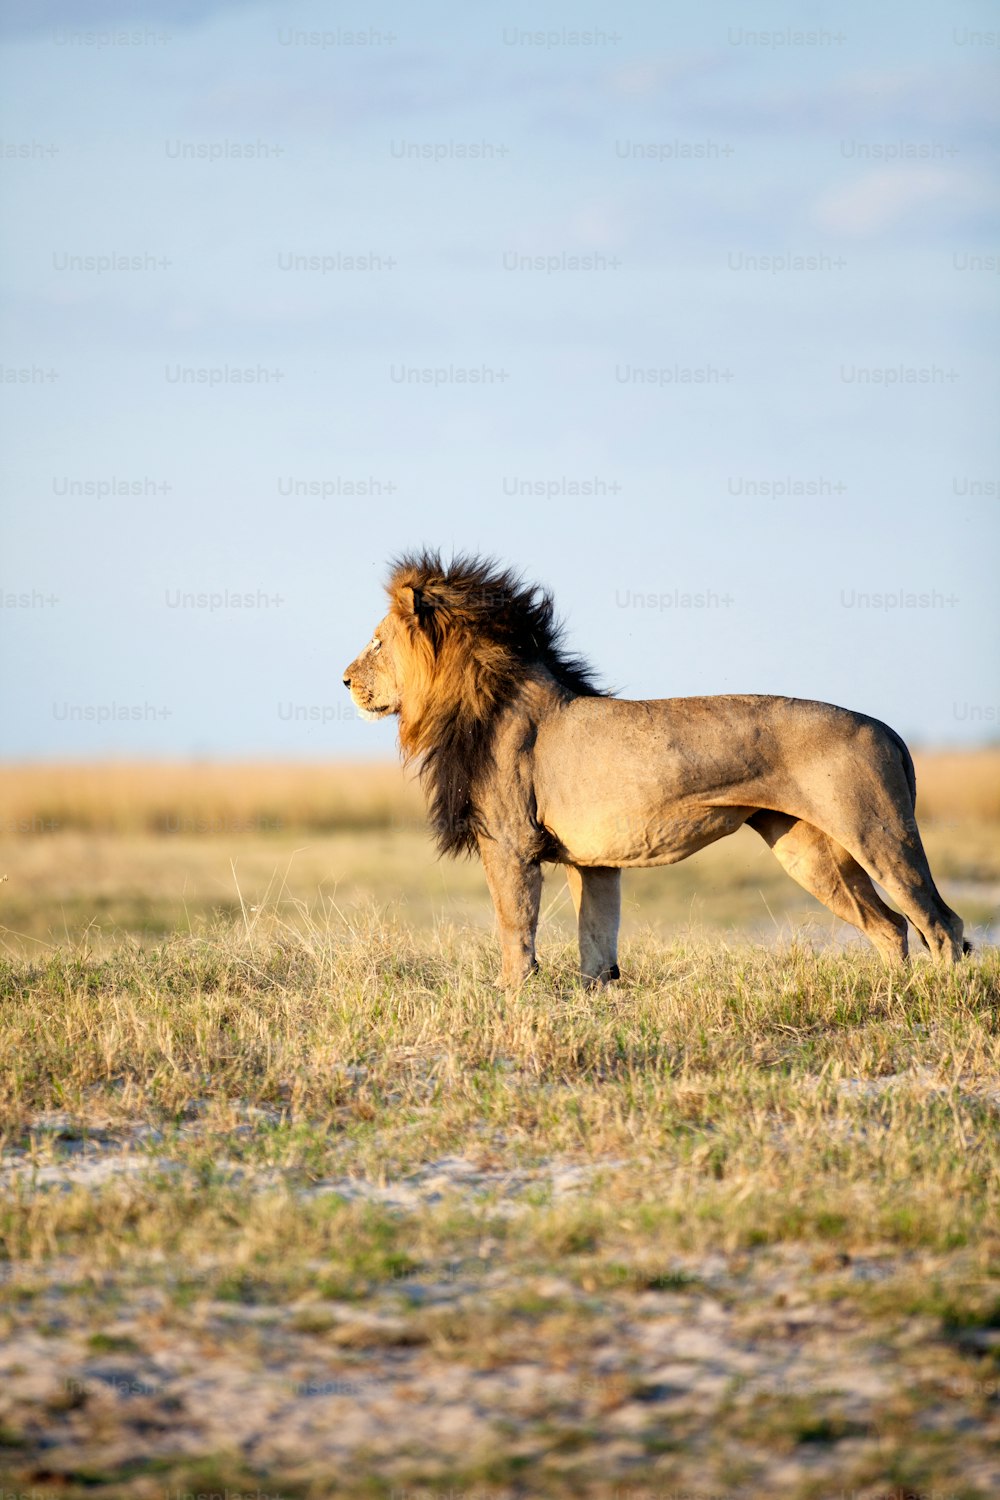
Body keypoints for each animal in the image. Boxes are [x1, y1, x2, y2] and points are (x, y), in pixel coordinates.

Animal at [344, 552, 971, 984]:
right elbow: (597, 947)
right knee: (892, 927)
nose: (344, 680)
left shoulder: (509, 843)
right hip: (810, 852)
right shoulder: (593, 862)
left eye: (376, 643)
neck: (479, 696)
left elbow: (514, 933)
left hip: (879, 835)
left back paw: (936, 1006)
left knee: (943, 925)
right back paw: (890, 998)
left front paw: (510, 999)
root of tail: (889, 730)